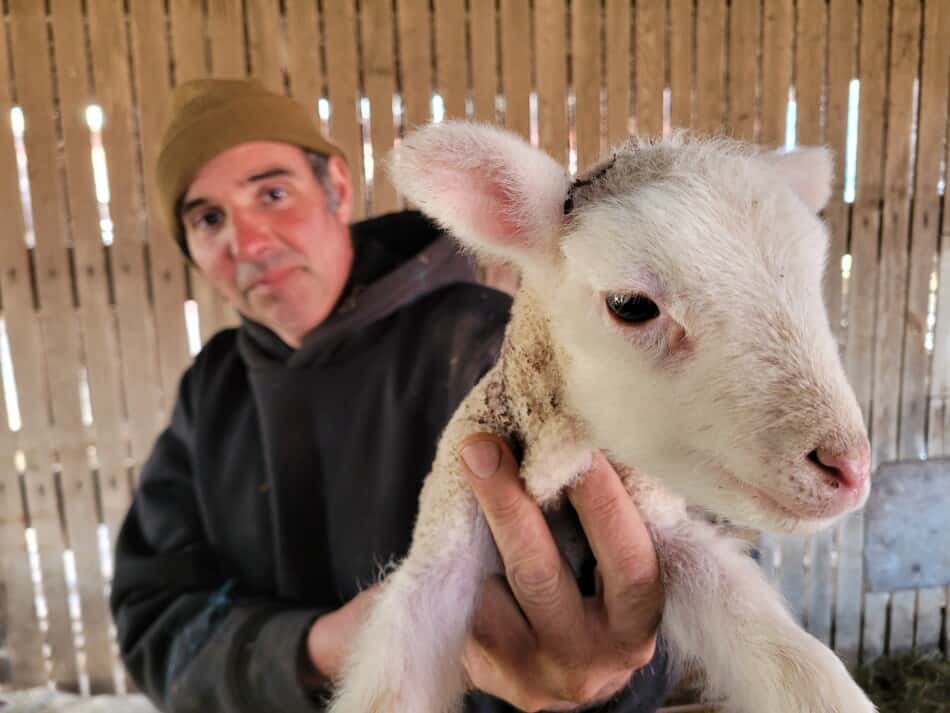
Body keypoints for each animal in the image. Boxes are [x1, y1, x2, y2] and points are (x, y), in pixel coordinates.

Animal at [328, 124, 876, 712]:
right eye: (631, 305)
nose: (849, 468)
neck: (559, 466)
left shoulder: (662, 526)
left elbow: (798, 670)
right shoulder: (441, 545)